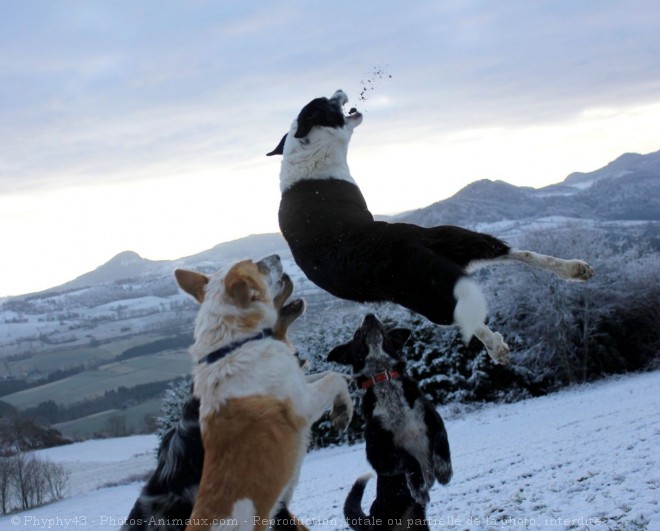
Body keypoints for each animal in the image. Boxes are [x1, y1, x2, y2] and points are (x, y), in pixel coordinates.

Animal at [174, 256, 350, 528]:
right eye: (256, 265)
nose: (277, 257)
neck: (236, 345)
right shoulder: (304, 405)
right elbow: (334, 378)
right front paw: (343, 412)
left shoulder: (299, 381)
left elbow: (333, 375)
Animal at [268, 91, 592, 366]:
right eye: (325, 102)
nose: (338, 91)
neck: (307, 151)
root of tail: (415, 246)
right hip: (433, 284)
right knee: (491, 279)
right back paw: (500, 343)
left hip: (442, 259)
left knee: (511, 256)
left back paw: (573, 269)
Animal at [326, 314, 452, 528]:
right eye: (357, 333)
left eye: (384, 327)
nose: (369, 315)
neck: (382, 376)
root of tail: (370, 519)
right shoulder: (378, 454)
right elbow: (409, 459)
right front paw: (419, 488)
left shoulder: (433, 420)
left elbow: (442, 442)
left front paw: (444, 471)